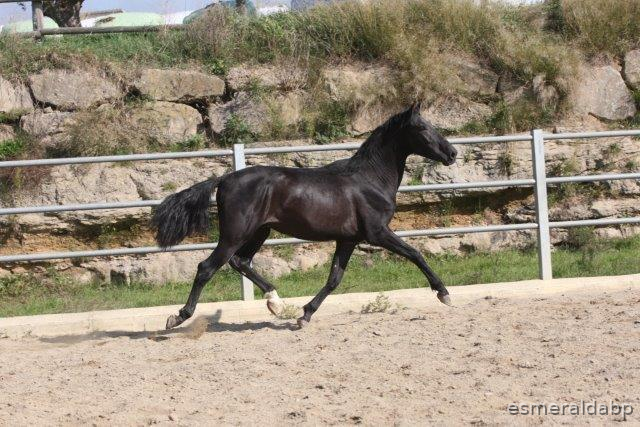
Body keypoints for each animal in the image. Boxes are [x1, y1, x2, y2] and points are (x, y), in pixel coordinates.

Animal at [152, 102, 458, 330]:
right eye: (421, 127)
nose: (452, 153)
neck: (370, 180)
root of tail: (225, 179)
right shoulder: (377, 233)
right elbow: (415, 253)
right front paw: (443, 293)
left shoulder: (348, 240)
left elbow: (334, 279)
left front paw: (305, 315)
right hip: (235, 233)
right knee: (207, 267)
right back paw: (178, 317)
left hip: (259, 232)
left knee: (241, 262)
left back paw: (276, 304)